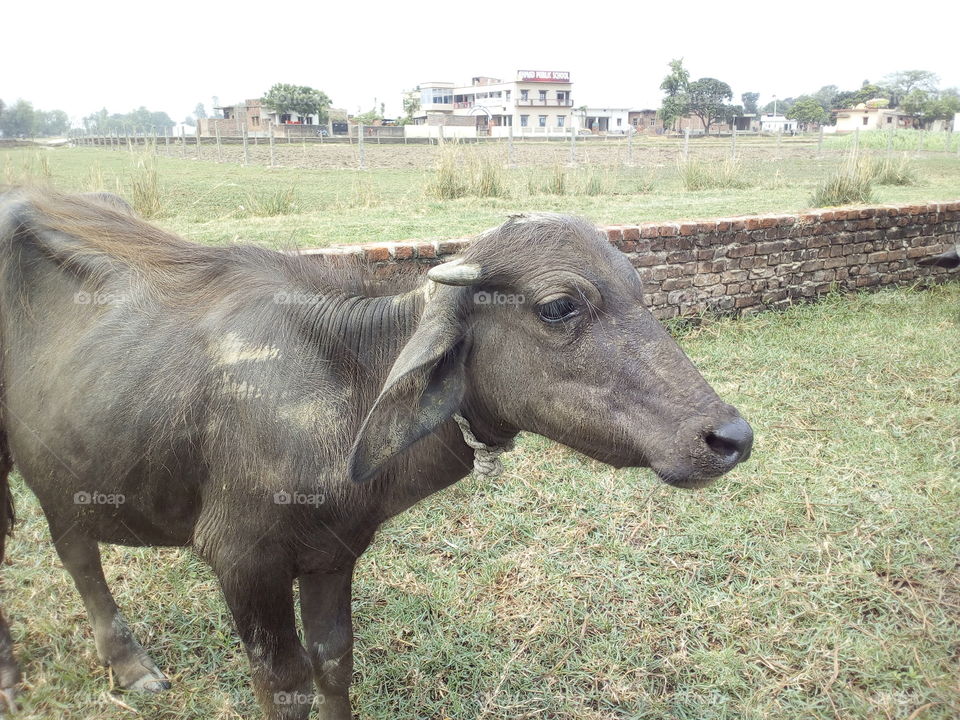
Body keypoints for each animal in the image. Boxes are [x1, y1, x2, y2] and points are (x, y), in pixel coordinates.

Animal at [0, 190, 753, 719]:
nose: (730, 438)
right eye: (559, 305)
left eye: (641, 295)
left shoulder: (332, 554)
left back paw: (127, 664)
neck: (345, 385)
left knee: (74, 547)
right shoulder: (243, 562)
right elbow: (286, 684)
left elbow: (334, 663)